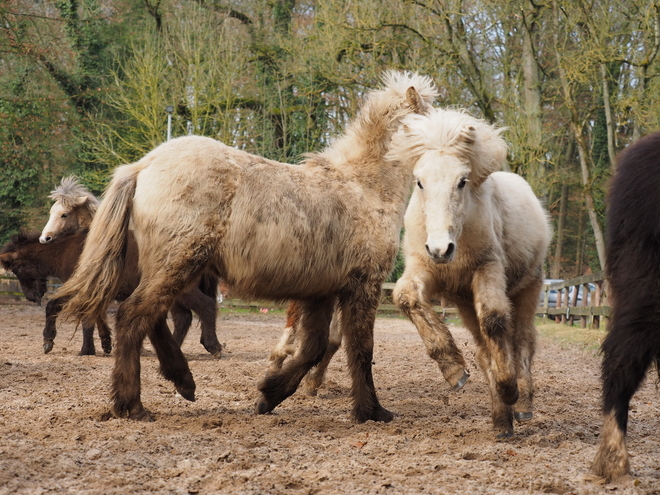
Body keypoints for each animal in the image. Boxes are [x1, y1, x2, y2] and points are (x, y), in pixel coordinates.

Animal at [0, 231, 224, 358]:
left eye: (18, 267)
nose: (31, 296)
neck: (68, 252)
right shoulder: (96, 292)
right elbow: (94, 318)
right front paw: (105, 343)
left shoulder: (82, 290)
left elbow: (58, 308)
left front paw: (55, 341)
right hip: (174, 294)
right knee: (183, 319)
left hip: (184, 291)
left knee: (206, 306)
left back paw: (213, 345)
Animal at [56, 71, 438, 424]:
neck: (364, 187)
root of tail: (144, 165)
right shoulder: (363, 286)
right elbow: (360, 349)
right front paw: (372, 411)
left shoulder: (321, 292)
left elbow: (314, 348)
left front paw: (269, 395)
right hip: (178, 264)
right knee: (133, 317)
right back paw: (132, 405)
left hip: (170, 268)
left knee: (151, 319)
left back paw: (183, 381)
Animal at [386, 109, 552, 438]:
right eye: (419, 182)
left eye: (462, 181)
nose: (440, 248)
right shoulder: (426, 269)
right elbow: (406, 297)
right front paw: (454, 371)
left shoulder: (487, 269)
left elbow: (495, 319)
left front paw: (509, 389)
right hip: (464, 302)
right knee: (484, 350)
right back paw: (501, 422)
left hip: (529, 287)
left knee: (522, 340)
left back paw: (521, 404)